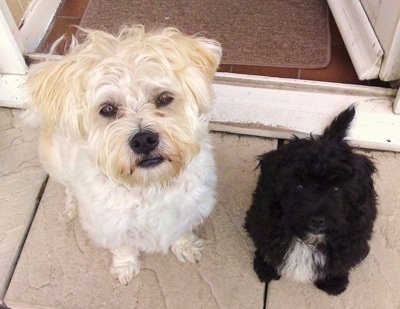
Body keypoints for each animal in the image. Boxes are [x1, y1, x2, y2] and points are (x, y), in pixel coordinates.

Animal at [22, 25, 222, 284]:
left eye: (164, 98)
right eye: (107, 109)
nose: (143, 140)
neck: (150, 185)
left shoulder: (189, 207)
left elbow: (182, 230)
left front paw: (185, 246)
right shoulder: (110, 225)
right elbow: (123, 247)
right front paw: (126, 267)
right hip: (54, 163)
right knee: (68, 187)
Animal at [244, 105, 378, 294]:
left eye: (337, 189)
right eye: (299, 186)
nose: (317, 220)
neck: (310, 241)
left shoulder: (353, 237)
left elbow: (342, 259)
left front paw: (334, 281)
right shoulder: (263, 222)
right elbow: (266, 244)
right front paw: (266, 268)